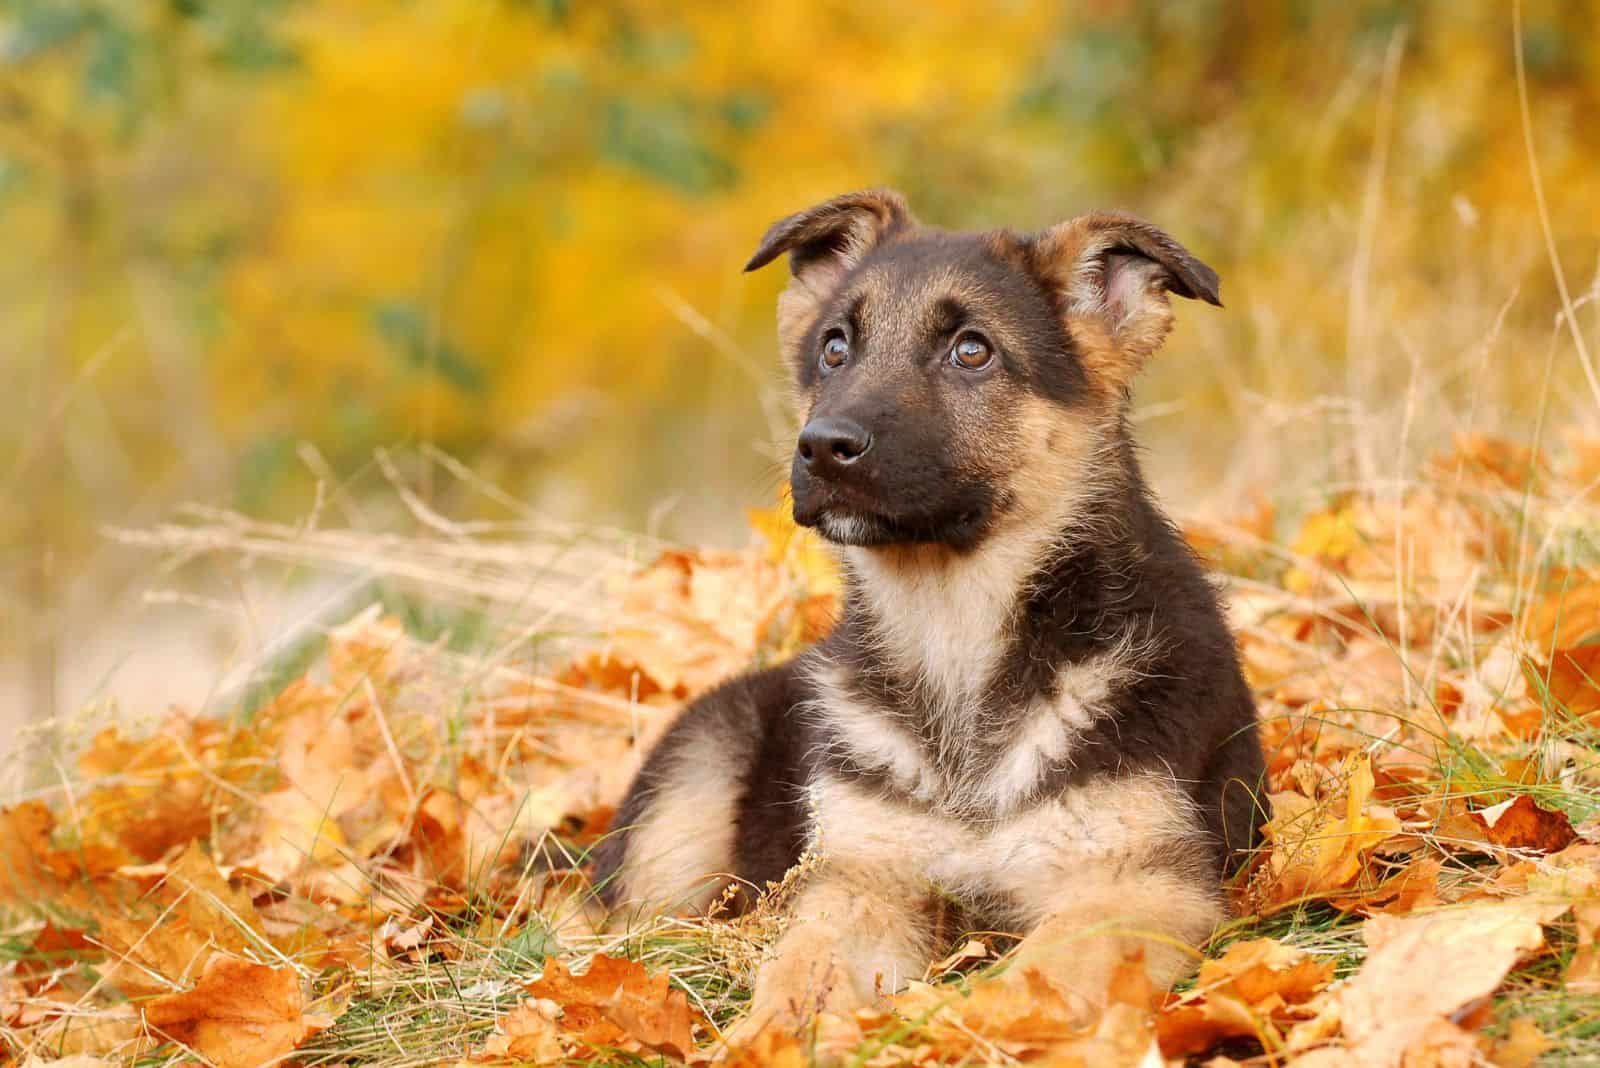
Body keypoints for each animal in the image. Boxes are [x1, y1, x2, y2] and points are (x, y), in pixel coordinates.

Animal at [595, 187, 1267, 1029]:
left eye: (972, 352)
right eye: (835, 349)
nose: (822, 447)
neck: (953, 632)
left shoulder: (1136, 884)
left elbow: (1027, 980)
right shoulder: (861, 882)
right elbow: (797, 969)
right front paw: (768, 1036)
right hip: (686, 799)